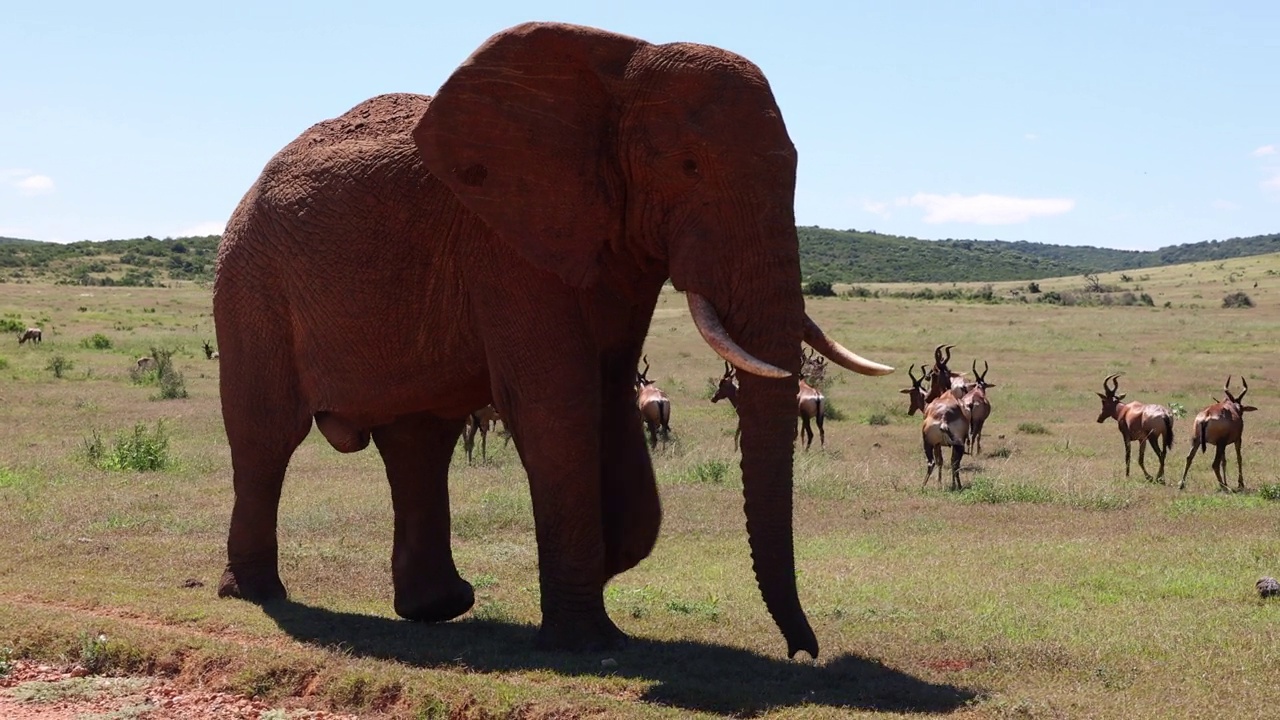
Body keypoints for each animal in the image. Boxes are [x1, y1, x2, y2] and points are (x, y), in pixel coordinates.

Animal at [212, 19, 890, 655]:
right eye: (688, 166)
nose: (803, 651)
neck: (619, 73)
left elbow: (609, 392)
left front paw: (608, 557)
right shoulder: (506, 244)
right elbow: (558, 404)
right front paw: (588, 641)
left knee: (418, 440)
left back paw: (437, 607)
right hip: (251, 281)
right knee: (266, 437)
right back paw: (255, 593)